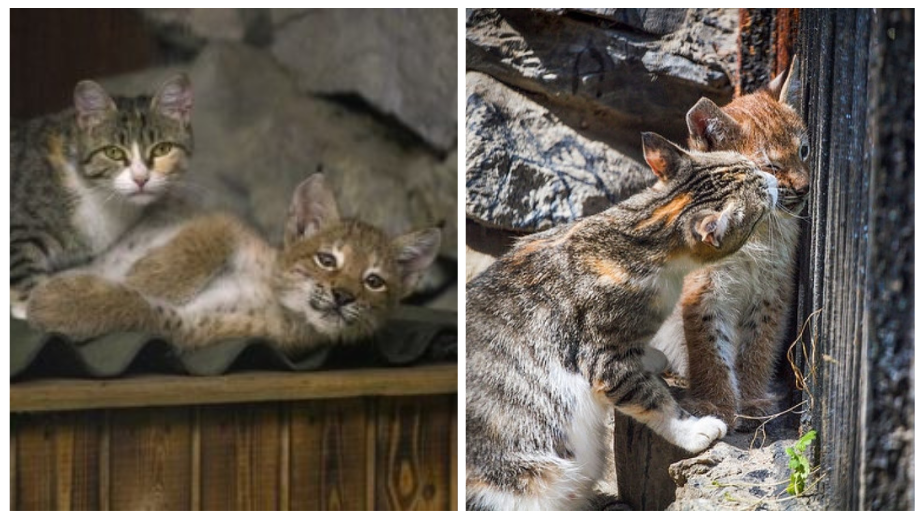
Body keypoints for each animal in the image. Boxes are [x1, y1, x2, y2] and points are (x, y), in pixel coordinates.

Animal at [28, 175, 440, 358]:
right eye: (326, 260)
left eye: (373, 281)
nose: (342, 295)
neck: (280, 300)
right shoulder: (227, 224)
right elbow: (206, 240)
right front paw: (150, 276)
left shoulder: (194, 327)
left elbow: (140, 310)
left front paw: (56, 303)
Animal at [466, 132, 776, 510]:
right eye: (760, 193)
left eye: (749, 165)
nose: (773, 179)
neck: (637, 235)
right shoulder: (604, 359)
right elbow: (653, 399)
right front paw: (694, 430)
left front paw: (651, 356)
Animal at [648, 57, 812, 430]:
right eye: (770, 167)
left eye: (804, 150)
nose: (806, 188)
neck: (756, 230)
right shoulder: (704, 290)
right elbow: (710, 350)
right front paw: (716, 405)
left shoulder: (773, 289)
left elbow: (759, 344)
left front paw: (750, 399)